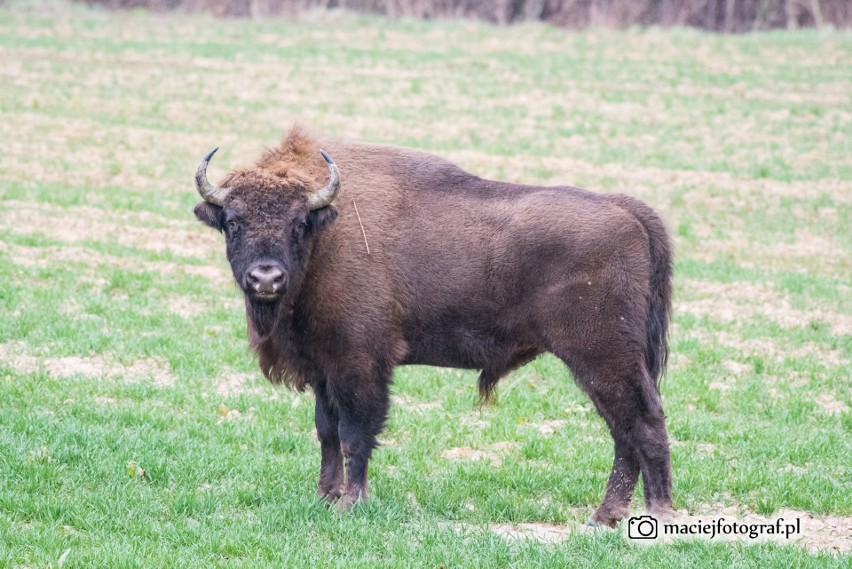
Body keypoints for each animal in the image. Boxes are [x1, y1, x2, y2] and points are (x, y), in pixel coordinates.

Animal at [191, 126, 672, 524]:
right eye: (232, 222)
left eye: (297, 223)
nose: (266, 279)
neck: (325, 232)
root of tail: (625, 209)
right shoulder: (324, 368)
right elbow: (326, 431)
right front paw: (325, 497)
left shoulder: (359, 365)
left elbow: (354, 434)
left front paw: (350, 503)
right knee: (624, 430)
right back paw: (608, 517)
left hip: (603, 357)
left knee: (641, 421)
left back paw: (653, 513)